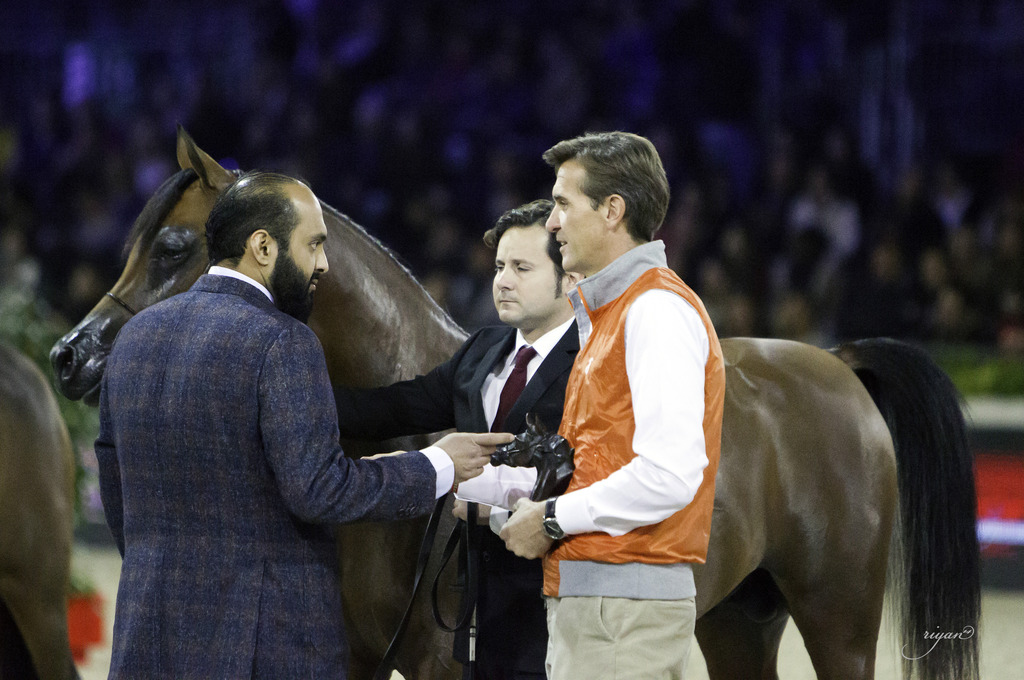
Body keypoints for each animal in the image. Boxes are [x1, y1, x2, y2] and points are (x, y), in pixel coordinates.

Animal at [51, 127, 980, 680]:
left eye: (174, 246)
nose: (71, 357)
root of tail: (836, 367)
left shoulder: (443, 663)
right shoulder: (347, 652)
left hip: (839, 619)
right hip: (737, 620)